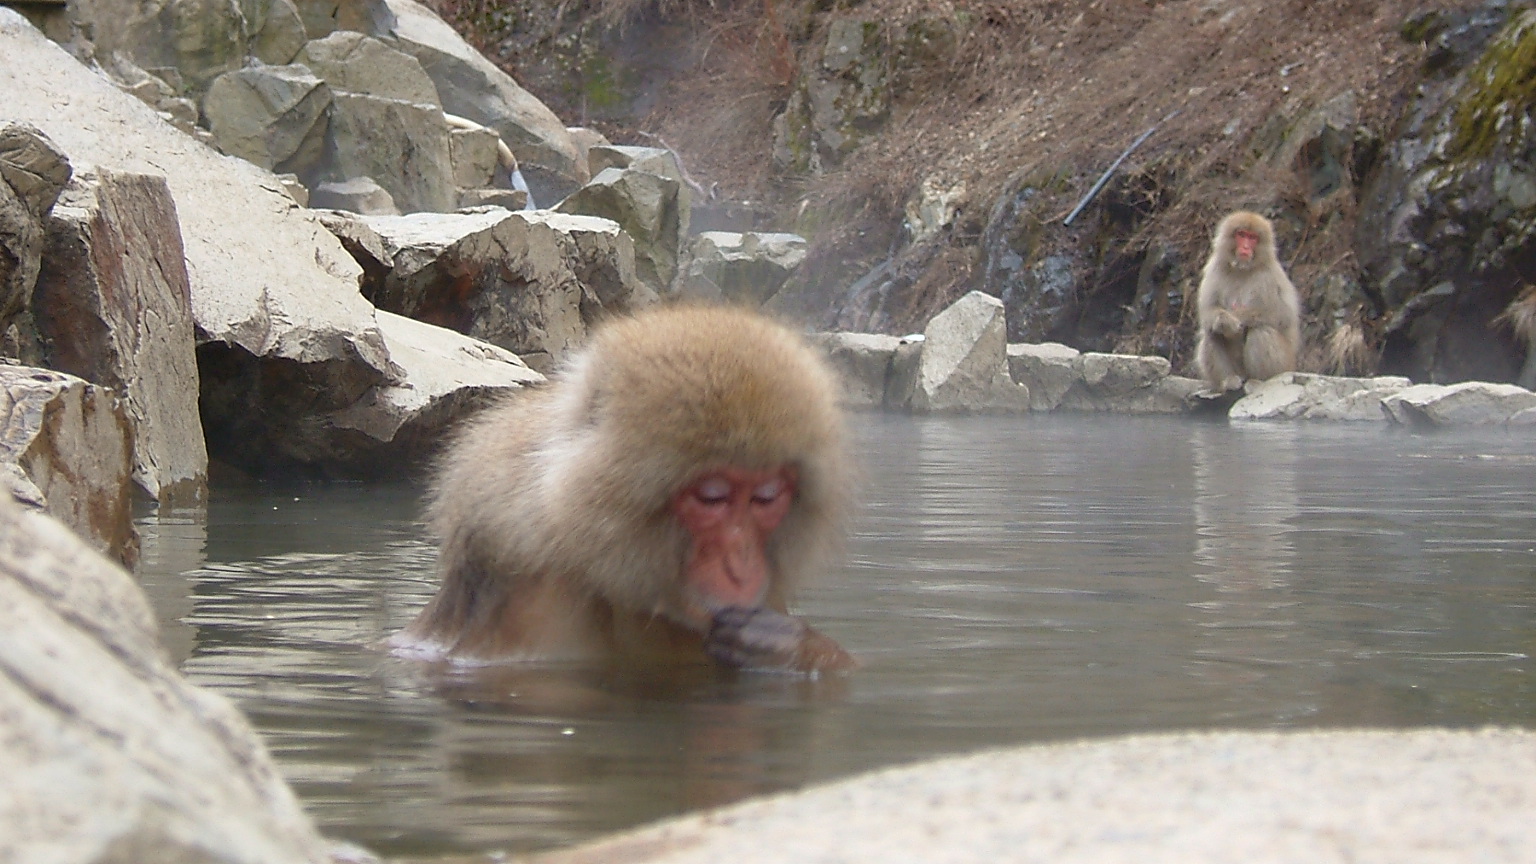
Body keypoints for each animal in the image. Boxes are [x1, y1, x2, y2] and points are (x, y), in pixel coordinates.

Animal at [1191, 210, 1302, 392]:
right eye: (1241, 235)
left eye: (1253, 237)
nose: (1245, 247)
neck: (1242, 269)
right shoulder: (1214, 268)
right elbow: (1208, 312)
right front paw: (1224, 321)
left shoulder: (1271, 275)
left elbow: (1282, 315)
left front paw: (1238, 317)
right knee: (1211, 332)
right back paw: (1228, 380)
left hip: (1284, 365)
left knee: (1261, 330)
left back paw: (1258, 381)